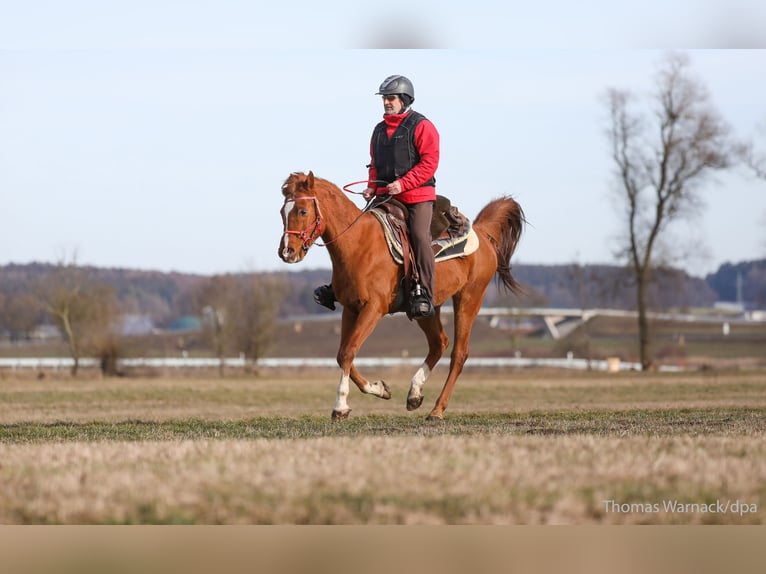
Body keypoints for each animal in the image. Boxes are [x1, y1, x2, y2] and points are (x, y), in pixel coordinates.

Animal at [278, 171, 524, 421]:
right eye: (282, 212)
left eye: (303, 211)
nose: (287, 252)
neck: (359, 244)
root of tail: (483, 233)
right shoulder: (350, 309)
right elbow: (343, 354)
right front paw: (379, 388)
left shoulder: (373, 309)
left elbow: (347, 352)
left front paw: (340, 406)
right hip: (426, 309)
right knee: (439, 343)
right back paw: (415, 393)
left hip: (468, 300)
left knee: (459, 353)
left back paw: (437, 409)